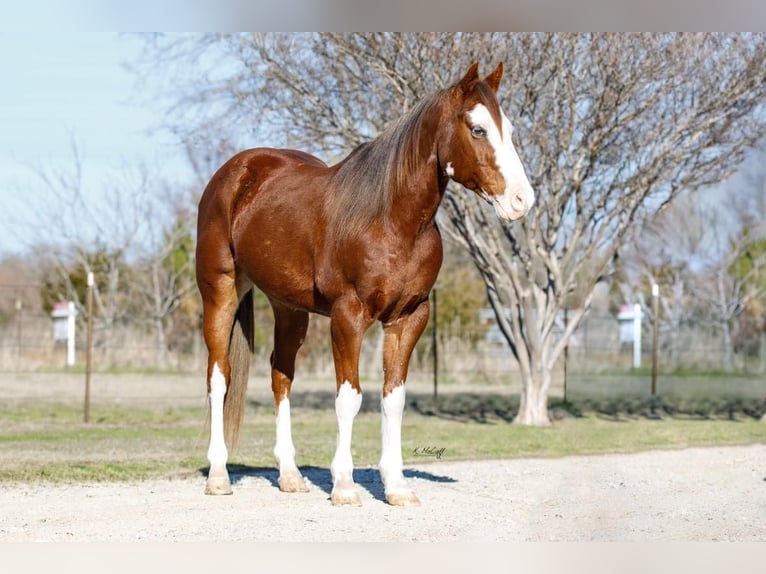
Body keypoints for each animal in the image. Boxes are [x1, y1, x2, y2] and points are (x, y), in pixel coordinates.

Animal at [195, 60, 536, 506]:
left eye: (508, 128)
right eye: (478, 129)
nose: (522, 200)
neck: (392, 221)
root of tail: (234, 174)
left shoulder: (409, 317)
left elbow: (394, 398)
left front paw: (397, 486)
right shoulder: (348, 315)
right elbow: (349, 398)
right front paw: (343, 486)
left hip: (289, 308)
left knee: (280, 376)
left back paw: (290, 475)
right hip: (220, 293)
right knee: (219, 377)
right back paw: (219, 475)